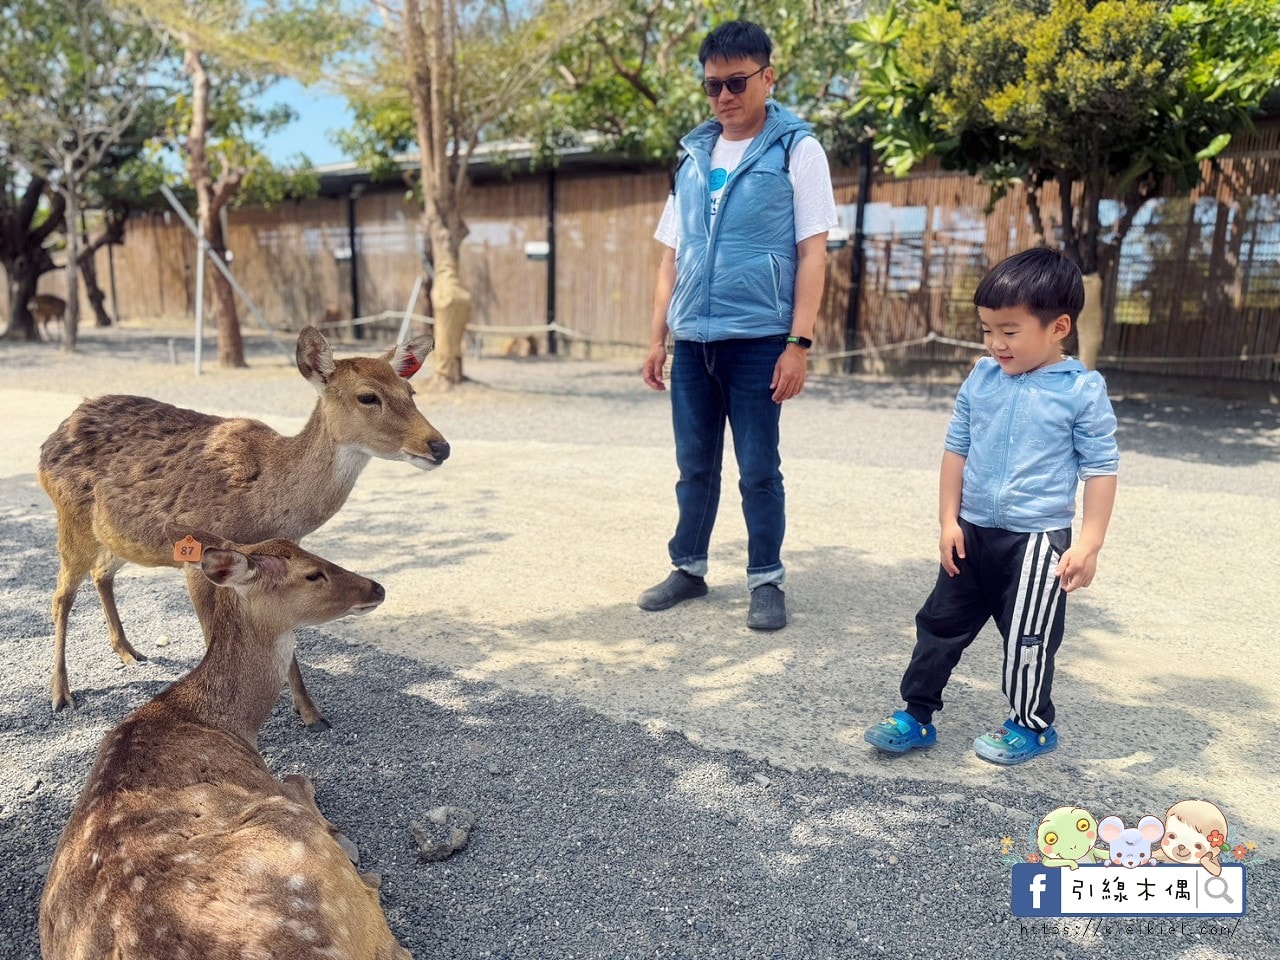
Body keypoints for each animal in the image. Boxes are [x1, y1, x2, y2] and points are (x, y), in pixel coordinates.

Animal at [38, 326, 449, 730]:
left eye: (411, 392)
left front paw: (311, 713)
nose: (440, 447)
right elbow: (213, 635)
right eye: (367, 396)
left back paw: (127, 651)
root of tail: (48, 442)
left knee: (101, 574)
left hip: (120, 537)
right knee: (61, 594)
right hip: (71, 520)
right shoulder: (195, 558)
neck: (266, 497)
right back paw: (60, 693)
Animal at [39, 532, 413, 960]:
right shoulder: (279, 788)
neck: (229, 721)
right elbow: (299, 776)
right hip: (290, 834)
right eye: (313, 573)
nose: (378, 587)